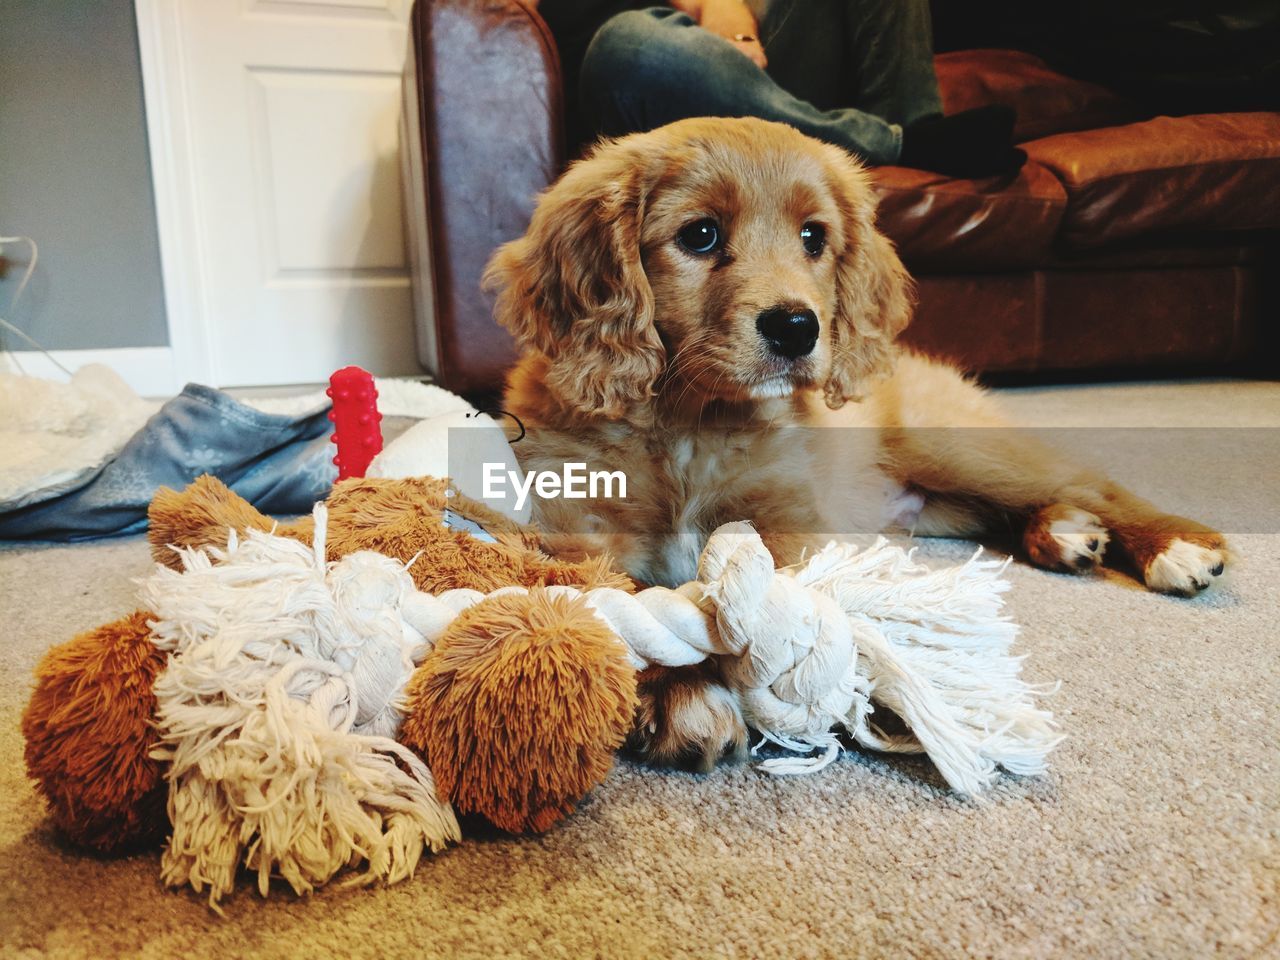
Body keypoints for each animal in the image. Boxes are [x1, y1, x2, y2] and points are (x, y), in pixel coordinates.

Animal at [481, 114, 1228, 773]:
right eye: (700, 235)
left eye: (814, 238)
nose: (795, 327)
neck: (691, 422)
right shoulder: (575, 521)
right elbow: (630, 600)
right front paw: (685, 693)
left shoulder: (790, 516)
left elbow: (770, 603)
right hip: (937, 506)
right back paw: (1068, 534)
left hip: (952, 446)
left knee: (1089, 482)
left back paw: (1174, 545)